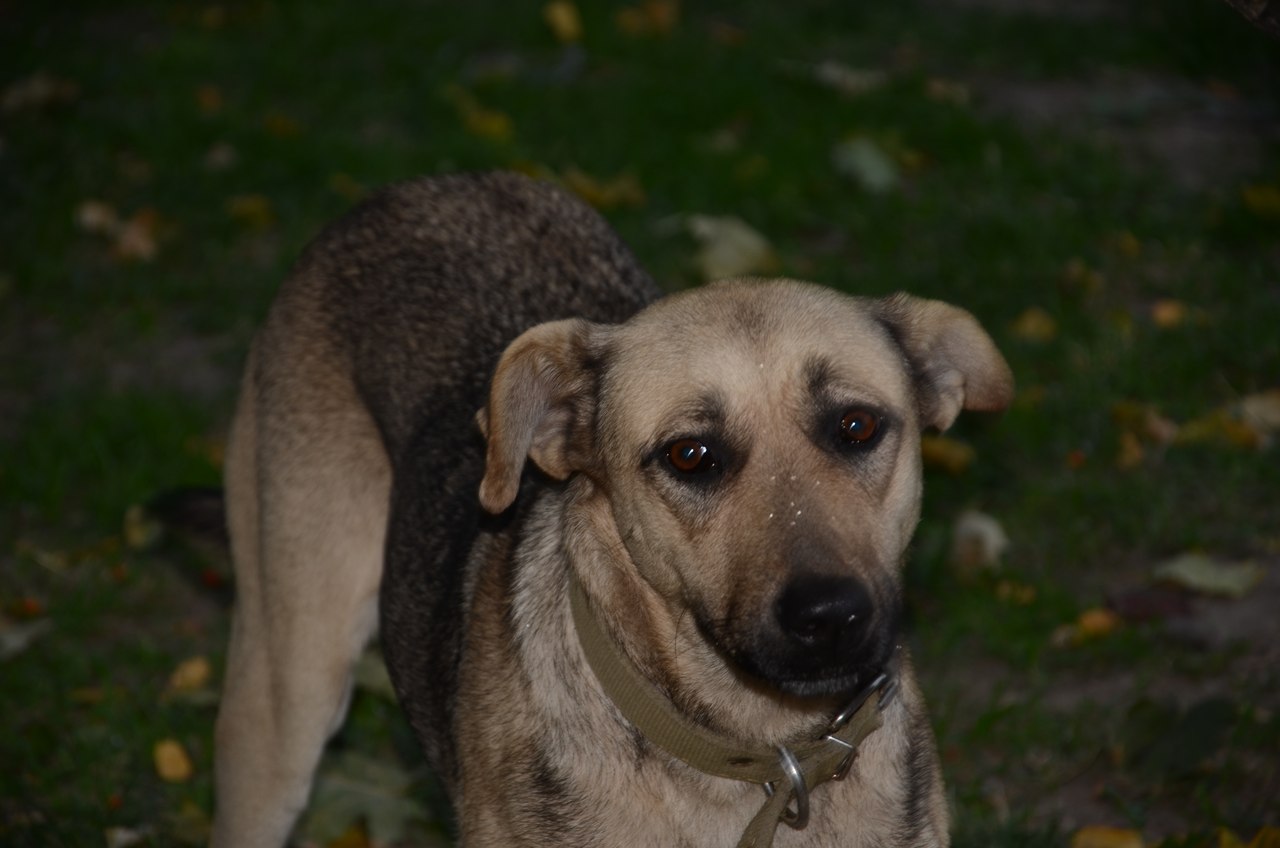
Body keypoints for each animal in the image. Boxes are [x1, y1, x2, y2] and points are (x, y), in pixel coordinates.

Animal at [210, 171, 1013, 848]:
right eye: (689, 455)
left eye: (857, 426)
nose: (831, 616)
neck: (757, 755)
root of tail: (414, 187)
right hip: (283, 699)